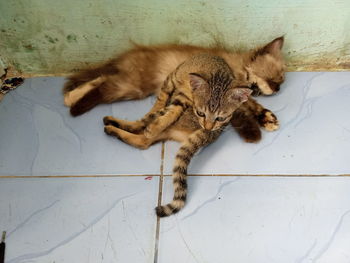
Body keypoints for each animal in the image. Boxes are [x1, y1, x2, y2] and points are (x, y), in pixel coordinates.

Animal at [104, 54, 252, 218]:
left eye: (220, 118)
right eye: (201, 113)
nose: (207, 127)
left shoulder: (181, 99)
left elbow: (166, 112)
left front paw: (154, 124)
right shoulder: (173, 81)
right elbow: (162, 100)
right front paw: (156, 112)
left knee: (143, 136)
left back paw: (115, 127)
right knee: (145, 136)